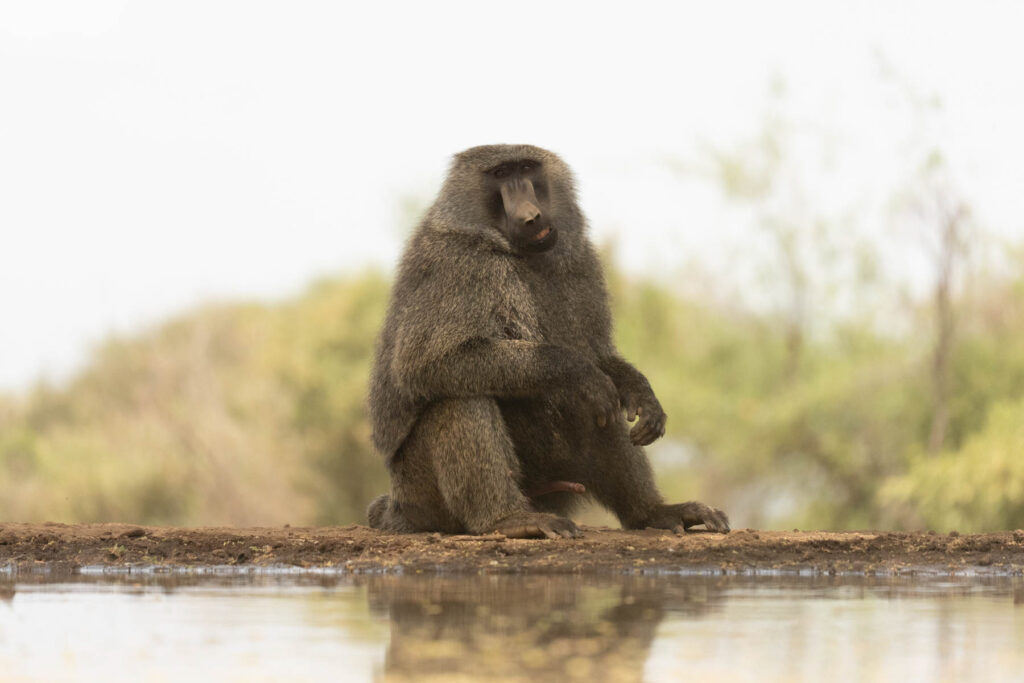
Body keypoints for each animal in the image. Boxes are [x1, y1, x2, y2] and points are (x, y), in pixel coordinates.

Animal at [366, 144, 729, 539]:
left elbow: (601, 358)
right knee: (457, 397)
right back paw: (507, 520)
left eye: (527, 168)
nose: (530, 215)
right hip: (422, 493)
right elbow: (424, 364)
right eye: (500, 174)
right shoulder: (458, 266)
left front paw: (640, 390)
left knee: (600, 408)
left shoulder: (582, 261)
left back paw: (652, 513)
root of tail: (399, 509)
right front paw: (575, 370)